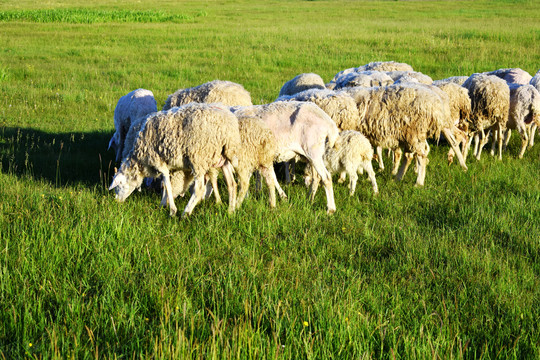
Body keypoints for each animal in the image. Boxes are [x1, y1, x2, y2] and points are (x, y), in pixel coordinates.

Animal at [108, 102, 242, 218]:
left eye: (118, 186)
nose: (117, 202)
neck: (139, 161)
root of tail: (228, 128)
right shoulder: (171, 166)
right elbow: (167, 185)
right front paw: (163, 204)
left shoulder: (159, 162)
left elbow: (167, 184)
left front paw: (172, 210)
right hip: (223, 158)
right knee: (232, 184)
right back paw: (230, 211)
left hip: (198, 158)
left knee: (199, 189)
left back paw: (186, 213)